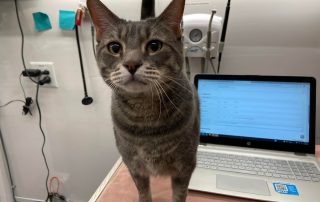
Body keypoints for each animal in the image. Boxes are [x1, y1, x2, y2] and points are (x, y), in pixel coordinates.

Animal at [87, 0, 198, 201]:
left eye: (154, 45)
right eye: (114, 48)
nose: (131, 64)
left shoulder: (184, 167)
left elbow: (179, 195)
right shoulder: (134, 167)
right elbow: (143, 192)